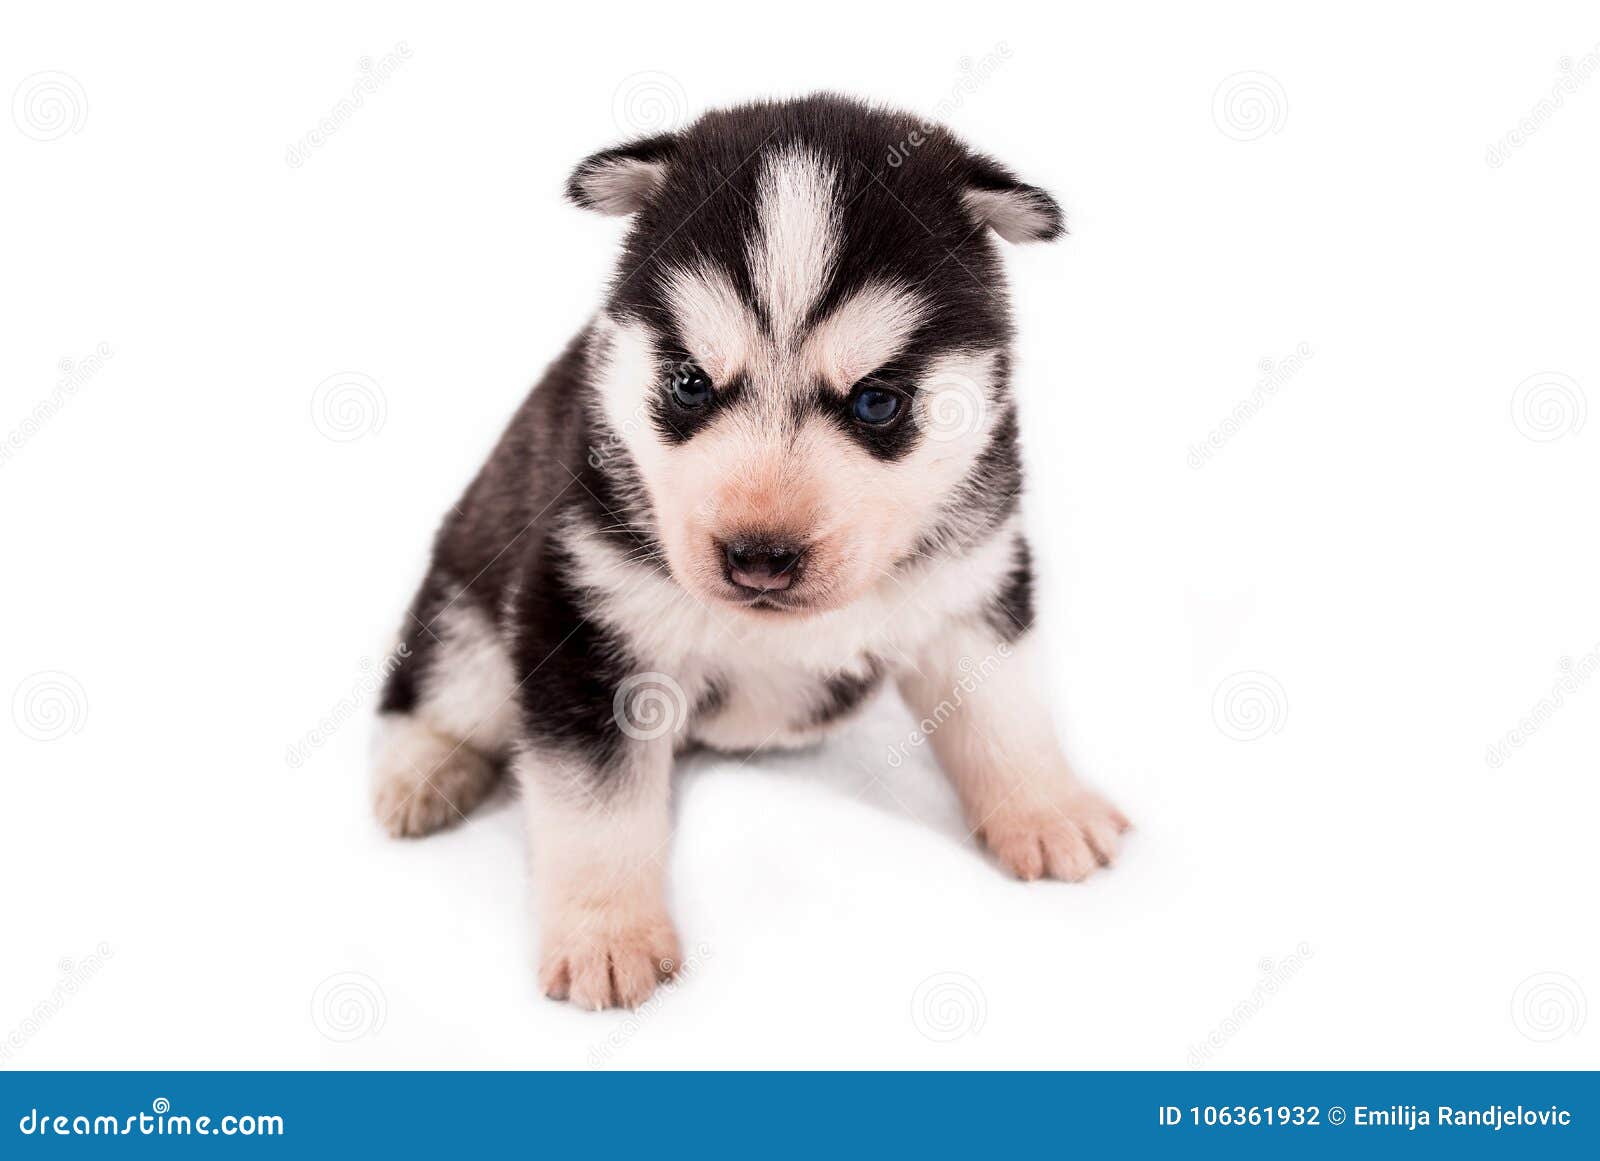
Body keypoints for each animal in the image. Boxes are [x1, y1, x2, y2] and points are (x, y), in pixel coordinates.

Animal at [371, 93, 1126, 1010]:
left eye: (878, 401)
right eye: (690, 383)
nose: (758, 555)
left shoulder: (969, 586)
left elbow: (1005, 712)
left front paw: (1046, 808)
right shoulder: (582, 615)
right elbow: (594, 805)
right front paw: (607, 933)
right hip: (473, 598)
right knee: (436, 688)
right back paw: (422, 771)